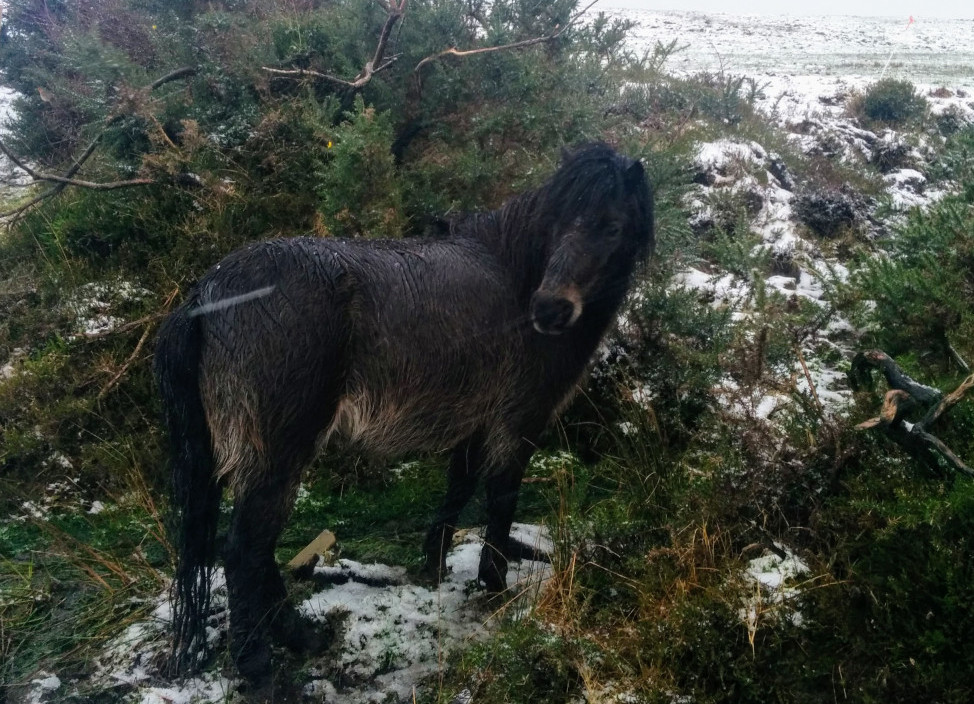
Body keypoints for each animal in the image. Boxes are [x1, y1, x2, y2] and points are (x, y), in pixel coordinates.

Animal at [154, 142, 656, 680]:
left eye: (612, 227)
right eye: (558, 223)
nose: (549, 310)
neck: (516, 275)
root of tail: (204, 294)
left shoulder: (476, 421)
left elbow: (459, 487)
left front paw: (434, 563)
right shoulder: (518, 420)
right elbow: (502, 497)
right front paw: (495, 583)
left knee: (257, 549)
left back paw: (300, 636)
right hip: (278, 451)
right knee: (244, 550)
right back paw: (260, 664)